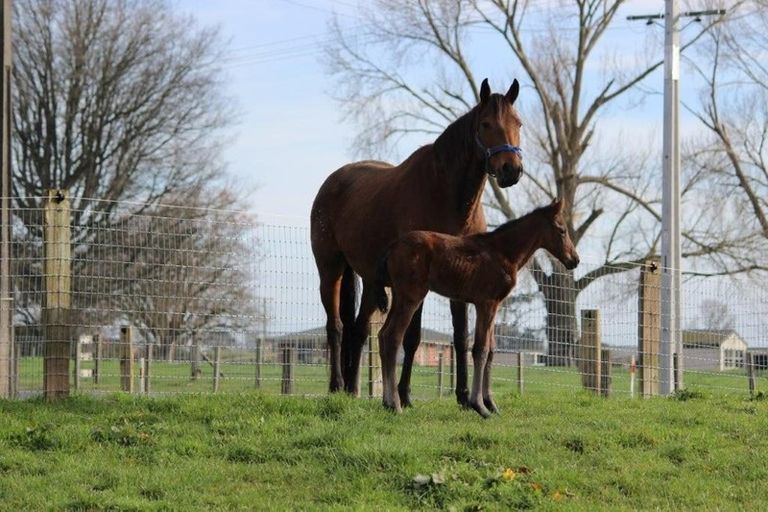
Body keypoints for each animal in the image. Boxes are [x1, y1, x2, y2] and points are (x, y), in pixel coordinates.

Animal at [308, 78, 524, 404]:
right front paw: (405, 394)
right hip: (330, 269)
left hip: (371, 281)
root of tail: (332, 182)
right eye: (486, 124)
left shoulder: (463, 278)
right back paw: (336, 385)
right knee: (335, 326)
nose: (511, 169)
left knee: (358, 329)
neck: (448, 196)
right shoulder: (417, 279)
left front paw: (463, 396)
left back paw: (353, 389)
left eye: (518, 123)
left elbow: (460, 337)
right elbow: (412, 337)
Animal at [376, 198, 580, 418]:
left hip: (398, 296)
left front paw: (491, 404)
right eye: (562, 230)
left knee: (382, 334)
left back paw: (386, 402)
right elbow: (480, 350)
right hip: (411, 297)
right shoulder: (486, 303)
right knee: (393, 336)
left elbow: (491, 350)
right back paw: (396, 404)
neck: (503, 252)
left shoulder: (495, 305)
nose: (575, 260)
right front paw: (479, 406)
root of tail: (392, 247)